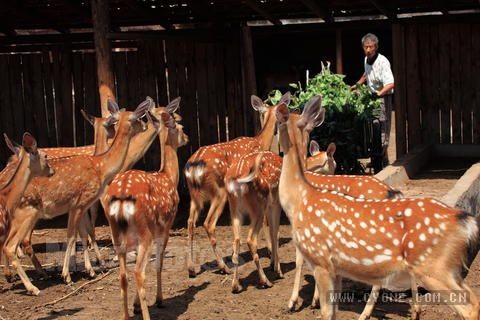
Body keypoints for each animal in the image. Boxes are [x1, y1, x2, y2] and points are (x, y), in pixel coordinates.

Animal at [102, 110, 188, 320]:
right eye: (181, 127)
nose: (187, 138)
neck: (169, 176)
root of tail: (121, 198)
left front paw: (135, 305)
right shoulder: (166, 227)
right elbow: (158, 264)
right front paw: (159, 300)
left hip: (117, 235)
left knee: (123, 275)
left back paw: (125, 315)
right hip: (144, 232)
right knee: (138, 273)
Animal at [185, 91, 290, 276]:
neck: (260, 142)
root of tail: (193, 167)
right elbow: (265, 222)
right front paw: (271, 254)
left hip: (194, 195)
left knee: (191, 222)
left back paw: (192, 269)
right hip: (219, 192)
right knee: (208, 224)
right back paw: (223, 267)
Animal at [276, 95, 478, 320]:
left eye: (277, 120)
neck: (299, 199)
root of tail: (467, 223)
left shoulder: (319, 258)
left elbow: (325, 309)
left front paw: (295, 303)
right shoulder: (336, 268)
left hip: (434, 267)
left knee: (469, 308)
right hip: (447, 270)